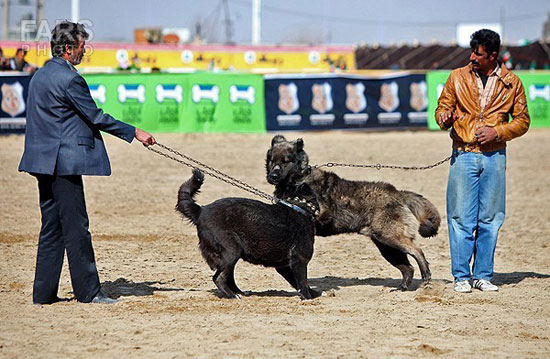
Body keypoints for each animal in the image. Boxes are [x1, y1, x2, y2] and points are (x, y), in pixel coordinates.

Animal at [177, 169, 324, 300]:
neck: (300, 207)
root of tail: (201, 211)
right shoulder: (299, 260)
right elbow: (303, 283)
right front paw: (308, 298)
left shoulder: (284, 266)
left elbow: (298, 283)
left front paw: (315, 294)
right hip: (232, 251)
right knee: (219, 277)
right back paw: (232, 295)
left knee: (228, 277)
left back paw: (239, 292)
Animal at [266, 136, 442, 292]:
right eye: (272, 160)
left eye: (286, 161)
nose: (272, 176)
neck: (297, 181)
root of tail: (398, 193)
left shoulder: (321, 213)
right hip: (386, 247)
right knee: (408, 268)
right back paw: (403, 287)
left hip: (390, 238)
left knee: (417, 251)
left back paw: (426, 276)